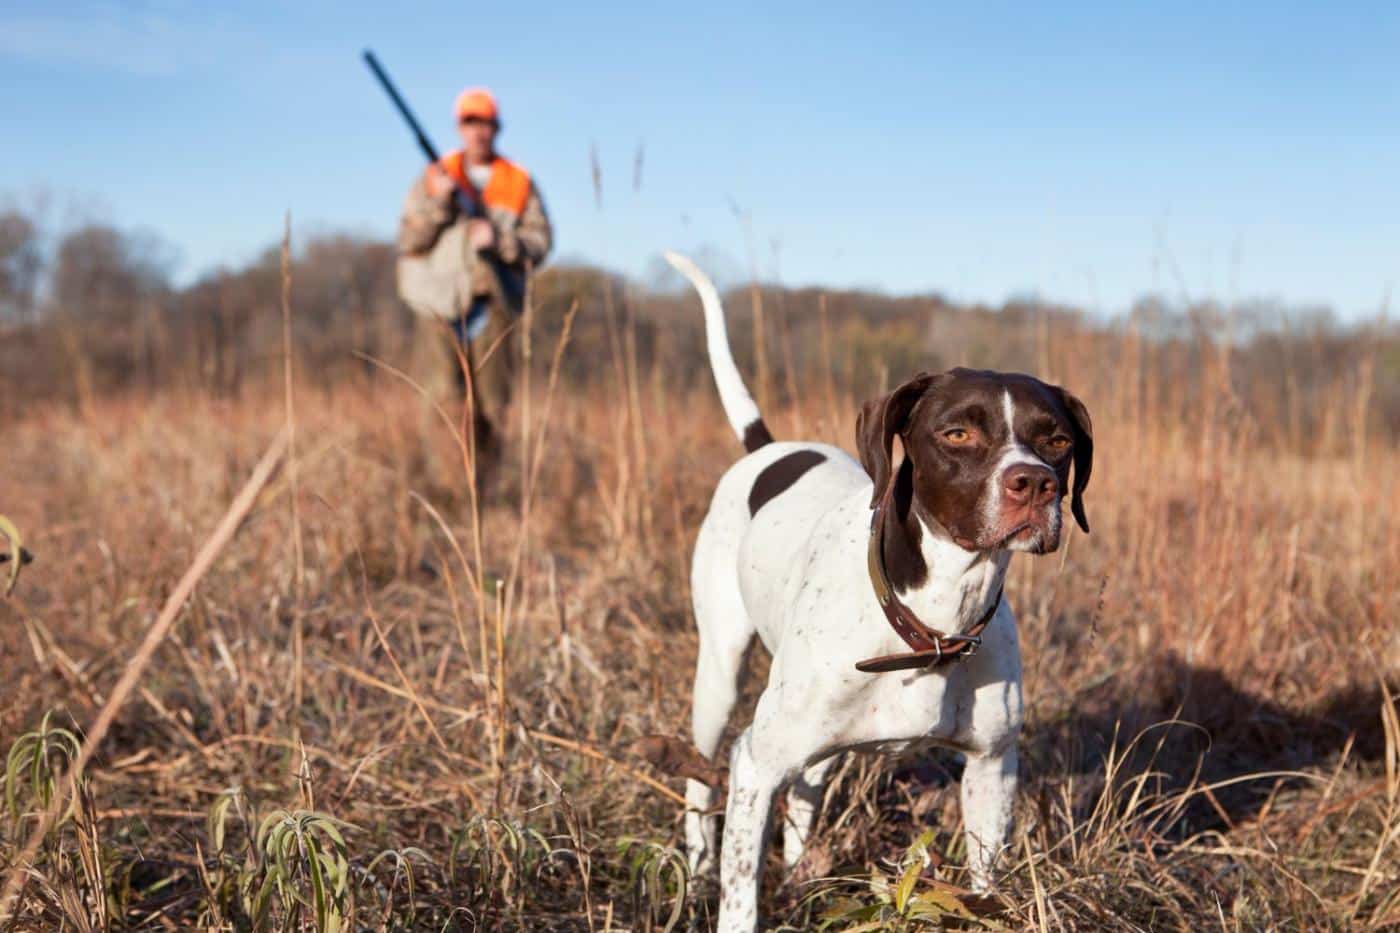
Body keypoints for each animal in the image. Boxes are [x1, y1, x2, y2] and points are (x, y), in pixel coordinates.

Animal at [666, 250, 1092, 924]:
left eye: (1056, 439)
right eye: (957, 433)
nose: (1035, 483)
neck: (933, 622)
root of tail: (768, 446)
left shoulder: (992, 768)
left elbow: (985, 880)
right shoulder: (756, 764)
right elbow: (740, 896)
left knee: (807, 790)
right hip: (719, 678)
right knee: (699, 776)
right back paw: (700, 864)